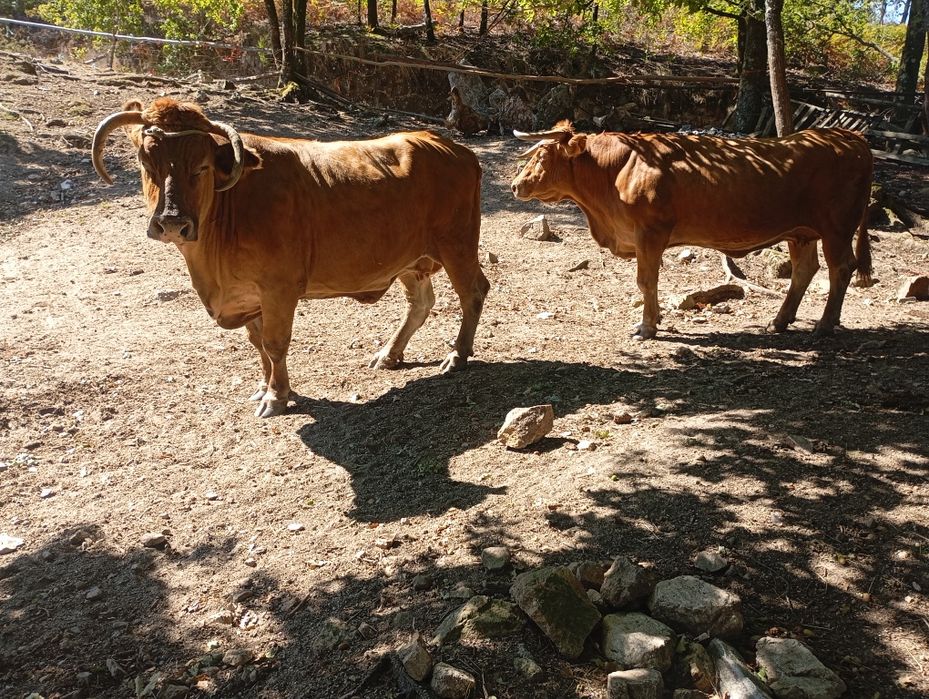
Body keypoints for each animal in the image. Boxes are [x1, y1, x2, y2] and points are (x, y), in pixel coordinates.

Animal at [92, 98, 489, 417]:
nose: (173, 222)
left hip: (457, 244)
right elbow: (257, 343)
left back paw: (457, 355)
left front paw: (277, 396)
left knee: (472, 292)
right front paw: (264, 386)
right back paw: (389, 354)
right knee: (420, 303)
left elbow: (275, 342)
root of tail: (449, 146)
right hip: (409, 258)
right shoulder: (249, 295)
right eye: (146, 163)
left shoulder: (278, 289)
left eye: (201, 166)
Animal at [511, 122, 873, 341]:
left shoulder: (650, 233)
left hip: (836, 228)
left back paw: (825, 324)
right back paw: (779, 320)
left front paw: (646, 326)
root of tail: (848, 136)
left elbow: (646, 281)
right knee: (804, 270)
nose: (515, 185)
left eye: (542, 155)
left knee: (840, 268)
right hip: (802, 232)